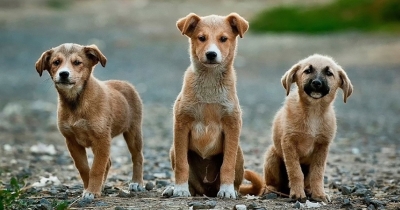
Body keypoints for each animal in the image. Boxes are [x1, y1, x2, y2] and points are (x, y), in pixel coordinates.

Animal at [34, 43, 144, 201]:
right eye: (56, 62)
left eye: (77, 62)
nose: (63, 74)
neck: (76, 102)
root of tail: (125, 83)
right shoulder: (72, 141)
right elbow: (84, 168)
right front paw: (89, 188)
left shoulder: (102, 139)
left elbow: (97, 168)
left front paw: (92, 191)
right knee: (108, 163)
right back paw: (102, 186)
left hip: (133, 132)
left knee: (137, 157)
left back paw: (136, 182)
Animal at [161, 13, 248, 199]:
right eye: (201, 38)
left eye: (223, 39)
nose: (211, 54)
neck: (209, 82)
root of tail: (207, 190)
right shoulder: (181, 124)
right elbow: (182, 165)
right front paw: (180, 189)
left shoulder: (232, 125)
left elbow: (227, 164)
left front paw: (227, 190)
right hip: (173, 150)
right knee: (192, 183)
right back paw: (175, 188)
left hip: (239, 152)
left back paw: (232, 190)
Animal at [241, 53, 354, 202]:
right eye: (308, 71)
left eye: (329, 73)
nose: (316, 83)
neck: (313, 112)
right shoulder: (289, 143)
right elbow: (295, 171)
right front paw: (297, 194)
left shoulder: (322, 146)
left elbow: (317, 174)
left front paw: (319, 194)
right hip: (272, 155)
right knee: (271, 183)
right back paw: (272, 190)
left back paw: (308, 190)